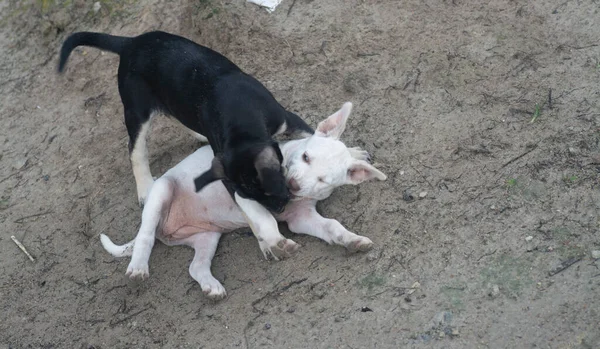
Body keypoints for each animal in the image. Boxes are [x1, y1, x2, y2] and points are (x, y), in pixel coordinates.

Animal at [59, 31, 314, 212]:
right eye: (250, 195)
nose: (280, 210)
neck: (239, 117)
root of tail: (130, 43)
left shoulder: (287, 119)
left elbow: (309, 134)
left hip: (170, 100)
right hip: (136, 111)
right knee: (135, 150)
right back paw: (145, 189)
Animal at [101, 101, 386, 300]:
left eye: (323, 180)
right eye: (306, 157)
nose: (291, 185)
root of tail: (165, 229)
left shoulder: (301, 217)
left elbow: (331, 225)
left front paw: (352, 240)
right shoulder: (246, 193)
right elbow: (266, 219)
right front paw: (276, 243)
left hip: (207, 237)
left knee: (196, 266)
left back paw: (212, 287)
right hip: (161, 191)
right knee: (146, 235)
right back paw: (138, 267)